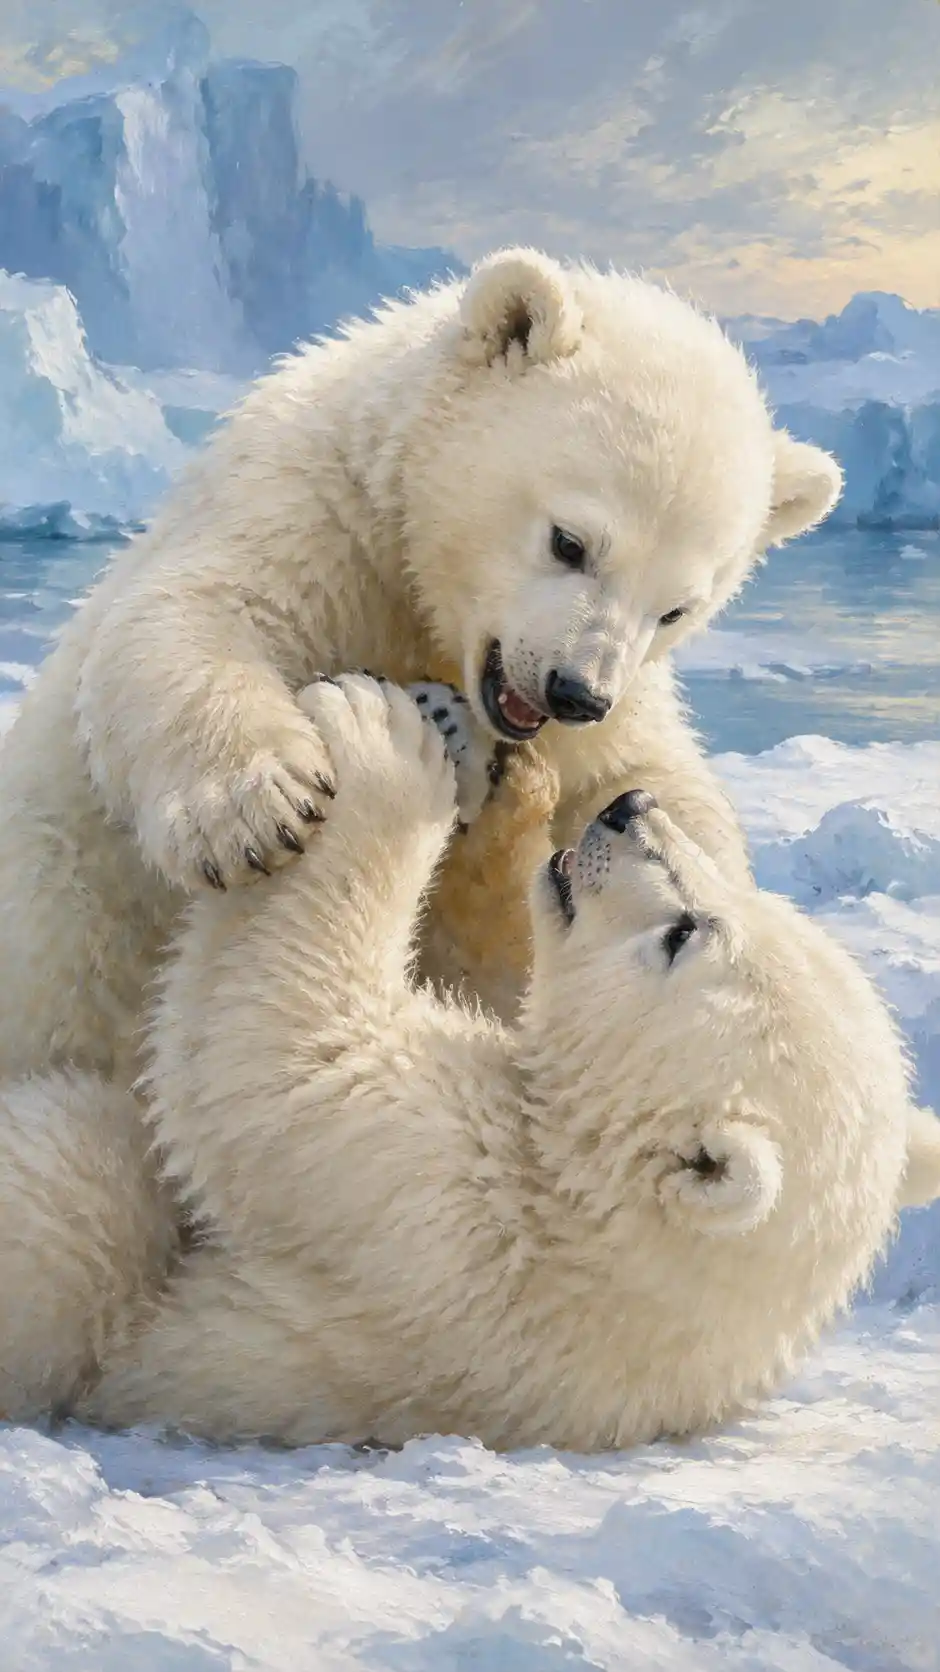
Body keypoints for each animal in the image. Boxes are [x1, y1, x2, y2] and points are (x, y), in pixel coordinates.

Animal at [0, 246, 843, 1106]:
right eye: (570, 541)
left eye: (677, 608)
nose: (575, 692)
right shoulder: (316, 510)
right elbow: (193, 613)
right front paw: (261, 811)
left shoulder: (623, 699)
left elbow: (638, 772)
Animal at [0, 673, 923, 1450]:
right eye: (745, 901)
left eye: (685, 933)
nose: (628, 809)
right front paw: (508, 784)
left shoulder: (446, 1214)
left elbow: (282, 1056)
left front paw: (381, 737)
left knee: (87, 1188)